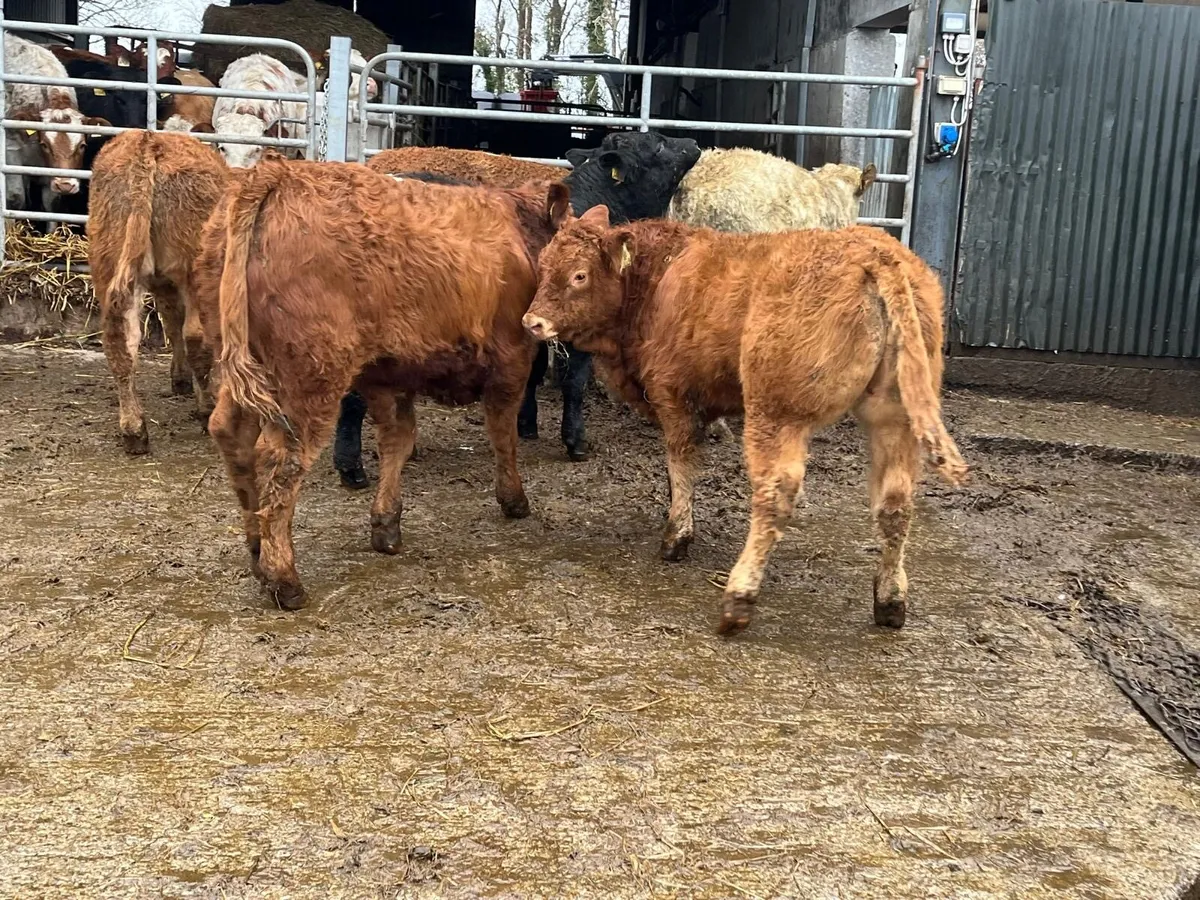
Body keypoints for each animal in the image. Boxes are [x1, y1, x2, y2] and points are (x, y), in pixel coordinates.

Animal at [88, 129, 230, 454]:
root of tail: (148, 142)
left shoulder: (163, 283)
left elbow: (171, 321)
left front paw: (179, 378)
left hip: (109, 263)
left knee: (120, 342)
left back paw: (134, 430)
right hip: (193, 271)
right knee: (196, 338)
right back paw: (206, 409)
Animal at [190, 160, 569, 610]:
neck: (519, 228)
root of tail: (277, 174)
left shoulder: (390, 374)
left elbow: (397, 440)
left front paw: (386, 524)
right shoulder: (512, 361)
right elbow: (503, 434)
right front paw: (513, 499)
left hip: (243, 368)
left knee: (232, 435)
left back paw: (255, 549)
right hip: (310, 379)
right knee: (279, 460)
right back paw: (283, 577)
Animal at [333, 132, 701, 487]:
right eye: (658, 145)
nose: (695, 143)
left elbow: (534, 371)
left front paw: (526, 423)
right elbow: (574, 381)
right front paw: (575, 441)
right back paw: (352, 468)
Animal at [522, 208, 968, 636]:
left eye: (579, 275)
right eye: (543, 265)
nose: (532, 322)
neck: (657, 279)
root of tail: (876, 253)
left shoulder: (674, 397)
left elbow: (680, 463)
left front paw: (677, 535)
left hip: (777, 415)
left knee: (775, 497)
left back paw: (738, 598)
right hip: (893, 418)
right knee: (895, 502)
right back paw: (890, 601)